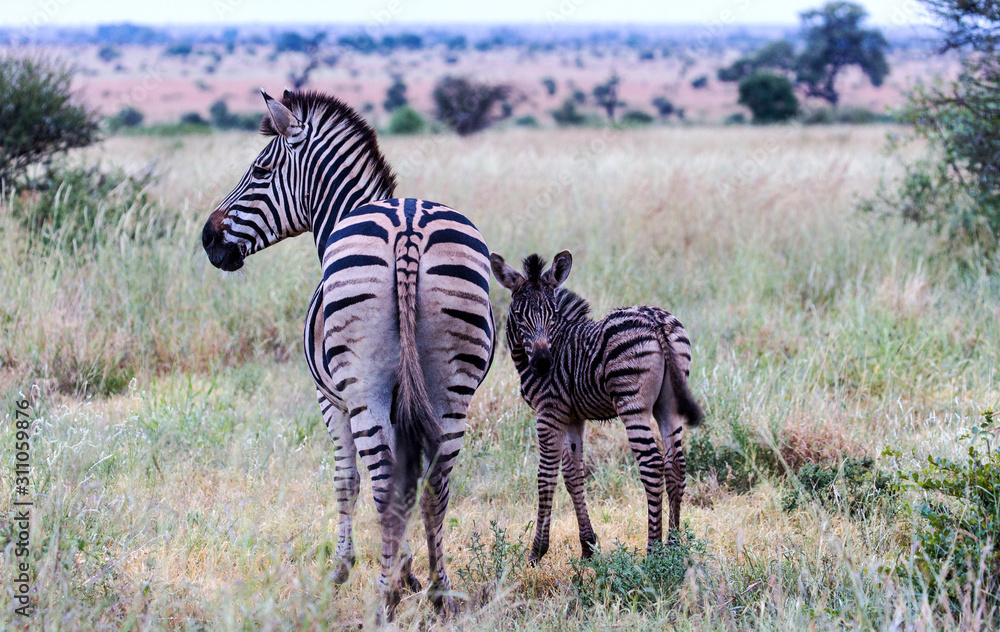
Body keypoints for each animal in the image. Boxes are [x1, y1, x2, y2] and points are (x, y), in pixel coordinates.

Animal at [201, 89, 495, 615]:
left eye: (259, 170)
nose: (207, 238)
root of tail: (408, 226)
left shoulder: (329, 399)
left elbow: (346, 480)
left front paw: (346, 568)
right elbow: (409, 479)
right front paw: (409, 571)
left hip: (363, 388)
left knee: (379, 482)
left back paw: (384, 598)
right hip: (453, 390)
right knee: (436, 484)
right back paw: (440, 592)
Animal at [490, 250, 703, 563]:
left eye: (552, 314)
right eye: (518, 315)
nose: (543, 364)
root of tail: (655, 320)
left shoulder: (549, 412)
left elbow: (546, 477)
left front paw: (536, 552)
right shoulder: (573, 418)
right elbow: (573, 475)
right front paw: (588, 546)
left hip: (631, 402)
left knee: (652, 465)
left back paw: (653, 554)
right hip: (669, 404)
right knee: (675, 464)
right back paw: (675, 548)